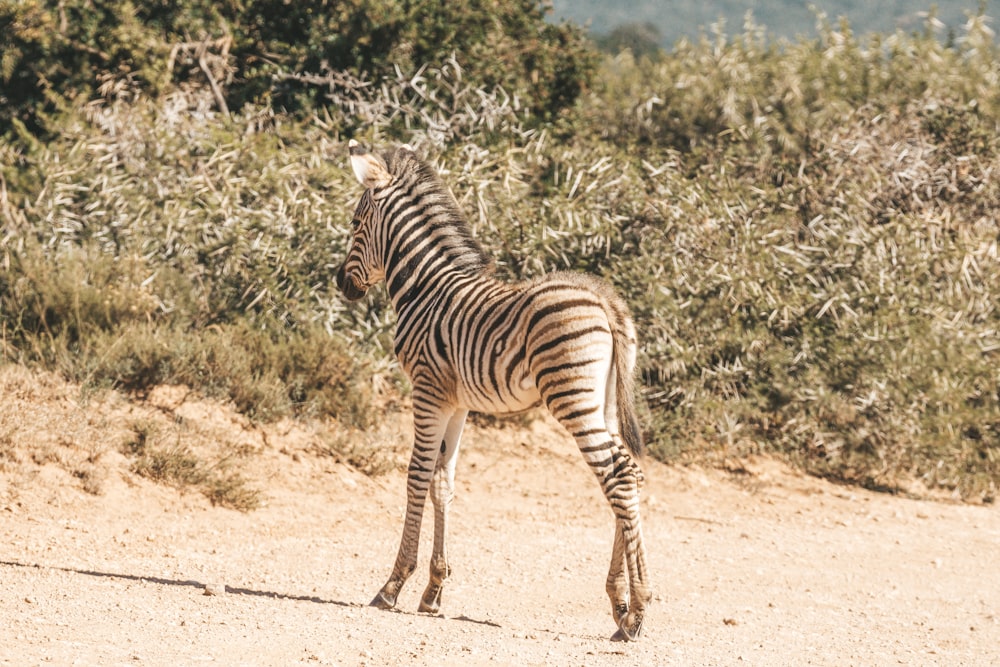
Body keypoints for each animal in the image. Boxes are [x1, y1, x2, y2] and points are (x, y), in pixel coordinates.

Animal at [332, 141, 652, 640]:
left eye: (355, 223)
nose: (341, 284)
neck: (426, 287)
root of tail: (604, 299)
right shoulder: (456, 401)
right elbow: (443, 482)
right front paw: (434, 590)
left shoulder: (426, 389)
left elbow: (416, 476)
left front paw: (393, 586)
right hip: (604, 402)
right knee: (629, 473)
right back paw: (619, 606)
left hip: (573, 397)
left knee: (616, 476)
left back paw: (636, 611)